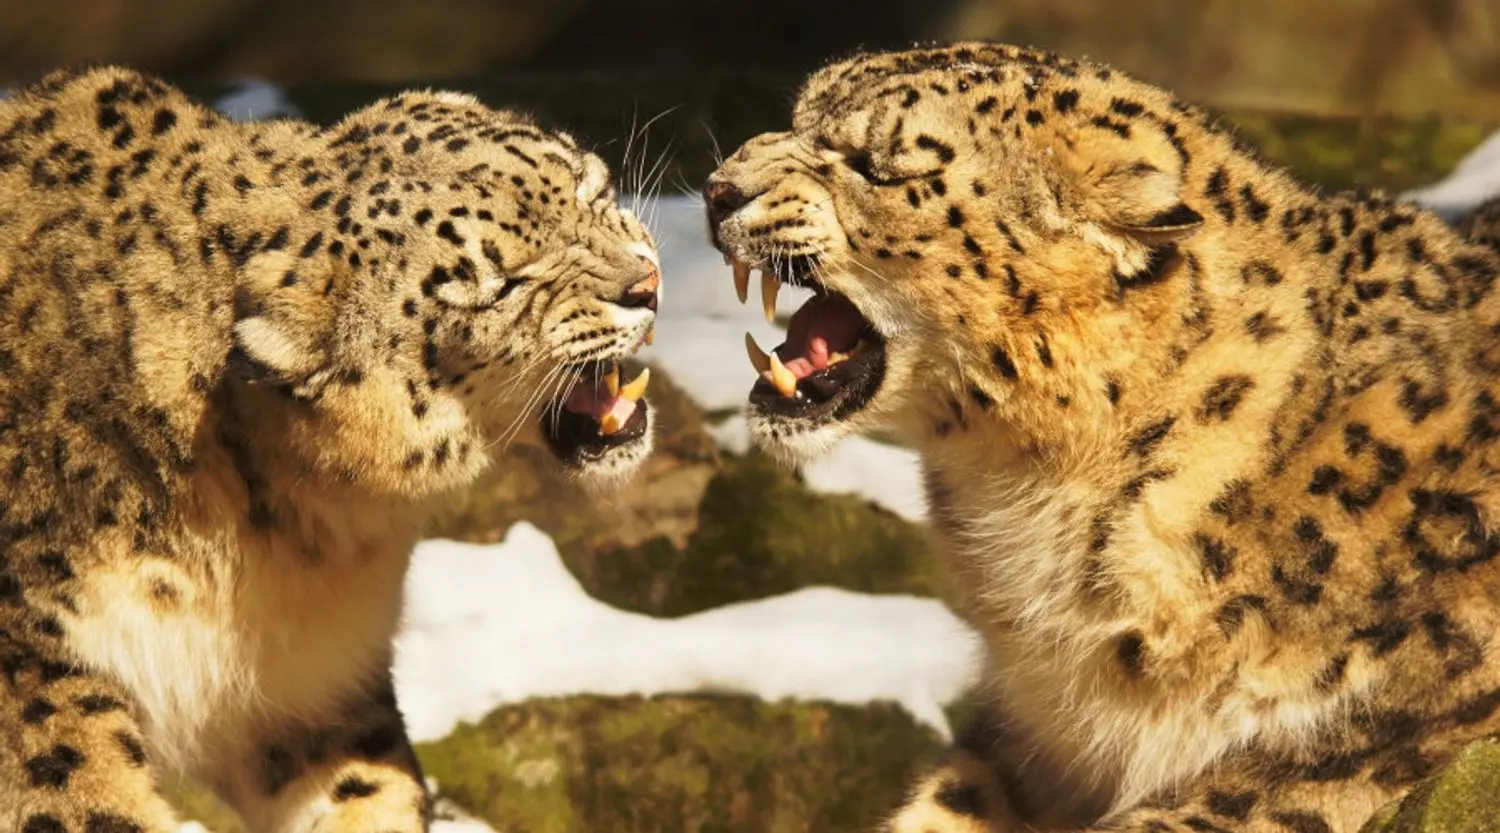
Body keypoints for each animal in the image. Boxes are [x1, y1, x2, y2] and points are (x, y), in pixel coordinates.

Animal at [0, 65, 660, 832]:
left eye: (592, 190)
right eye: (504, 283)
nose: (647, 283)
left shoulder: (310, 692)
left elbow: (368, 790)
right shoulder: (37, 674)